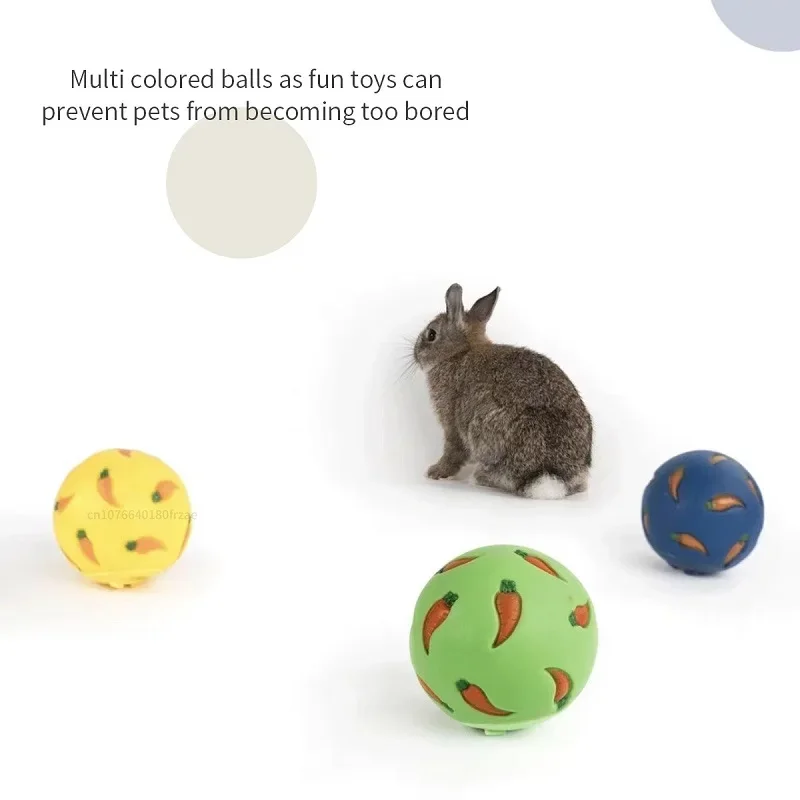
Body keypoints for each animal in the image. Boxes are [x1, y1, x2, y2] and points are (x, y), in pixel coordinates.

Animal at [413, 284, 592, 499]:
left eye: (431, 334)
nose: (415, 354)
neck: (459, 353)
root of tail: (552, 476)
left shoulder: (452, 424)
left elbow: (453, 451)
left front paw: (436, 472)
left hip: (486, 427)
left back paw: (479, 477)